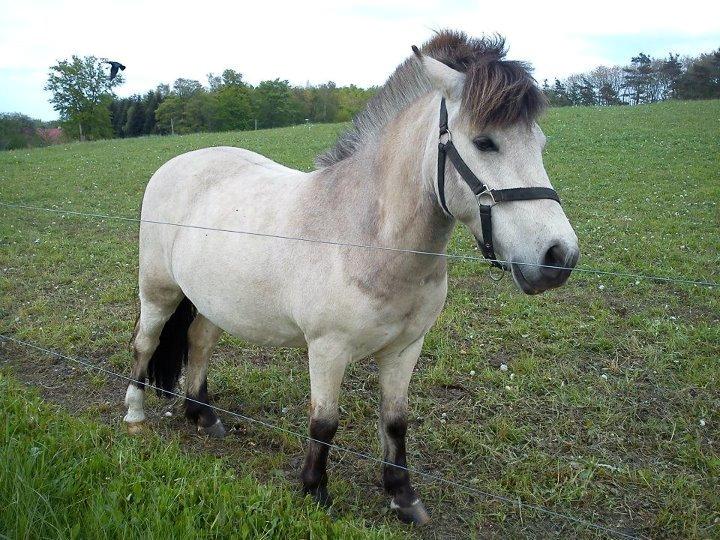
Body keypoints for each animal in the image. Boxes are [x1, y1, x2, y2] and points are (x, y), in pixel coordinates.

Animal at [122, 30, 580, 524]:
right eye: (484, 142)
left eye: (541, 144)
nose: (558, 256)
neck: (369, 236)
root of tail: (179, 162)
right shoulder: (328, 348)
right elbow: (324, 422)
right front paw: (314, 491)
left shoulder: (405, 349)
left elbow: (395, 421)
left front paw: (403, 496)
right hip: (159, 291)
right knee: (146, 343)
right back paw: (134, 414)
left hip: (212, 299)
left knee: (200, 342)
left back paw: (203, 415)